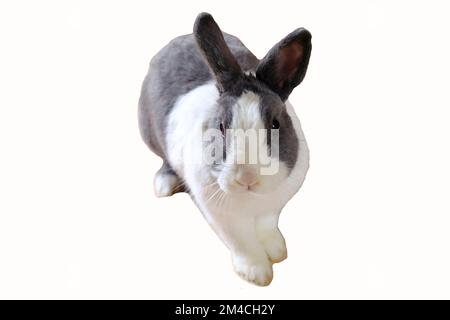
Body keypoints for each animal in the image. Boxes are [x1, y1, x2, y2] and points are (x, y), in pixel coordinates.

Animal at [139, 13, 312, 288]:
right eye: (220, 126)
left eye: (275, 123)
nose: (247, 178)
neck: (251, 200)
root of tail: (176, 41)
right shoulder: (224, 218)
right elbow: (242, 243)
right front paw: (258, 274)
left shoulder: (272, 208)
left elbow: (267, 227)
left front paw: (277, 251)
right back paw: (164, 185)